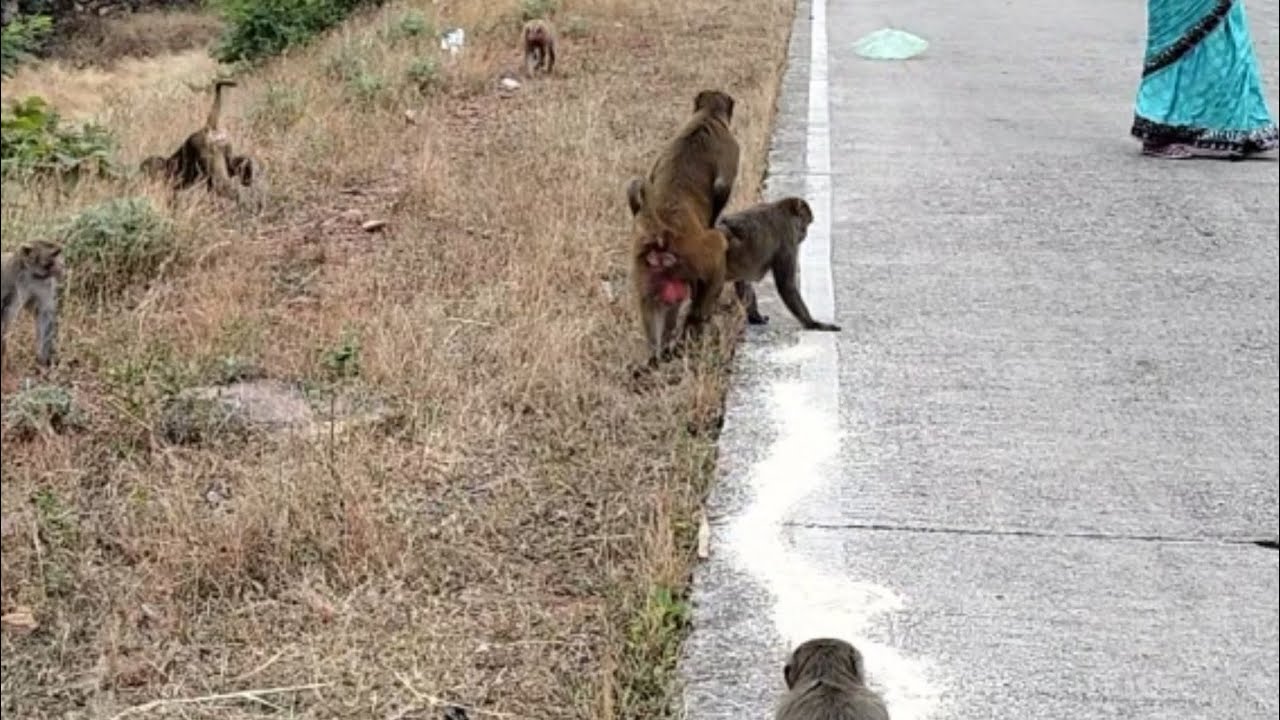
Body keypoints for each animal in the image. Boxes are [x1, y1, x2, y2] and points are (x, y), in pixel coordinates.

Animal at [1, 240, 65, 371]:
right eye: (54, 254)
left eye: (58, 253)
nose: (62, 265)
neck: (31, 274)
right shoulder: (14, 283)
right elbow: (8, 313)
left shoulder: (44, 283)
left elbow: (44, 314)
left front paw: (43, 358)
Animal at [627, 90, 741, 364]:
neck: (706, 116)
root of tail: (662, 234)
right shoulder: (731, 149)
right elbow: (721, 190)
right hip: (699, 255)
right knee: (717, 248)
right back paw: (693, 331)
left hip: (649, 266)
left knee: (653, 307)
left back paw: (656, 354)